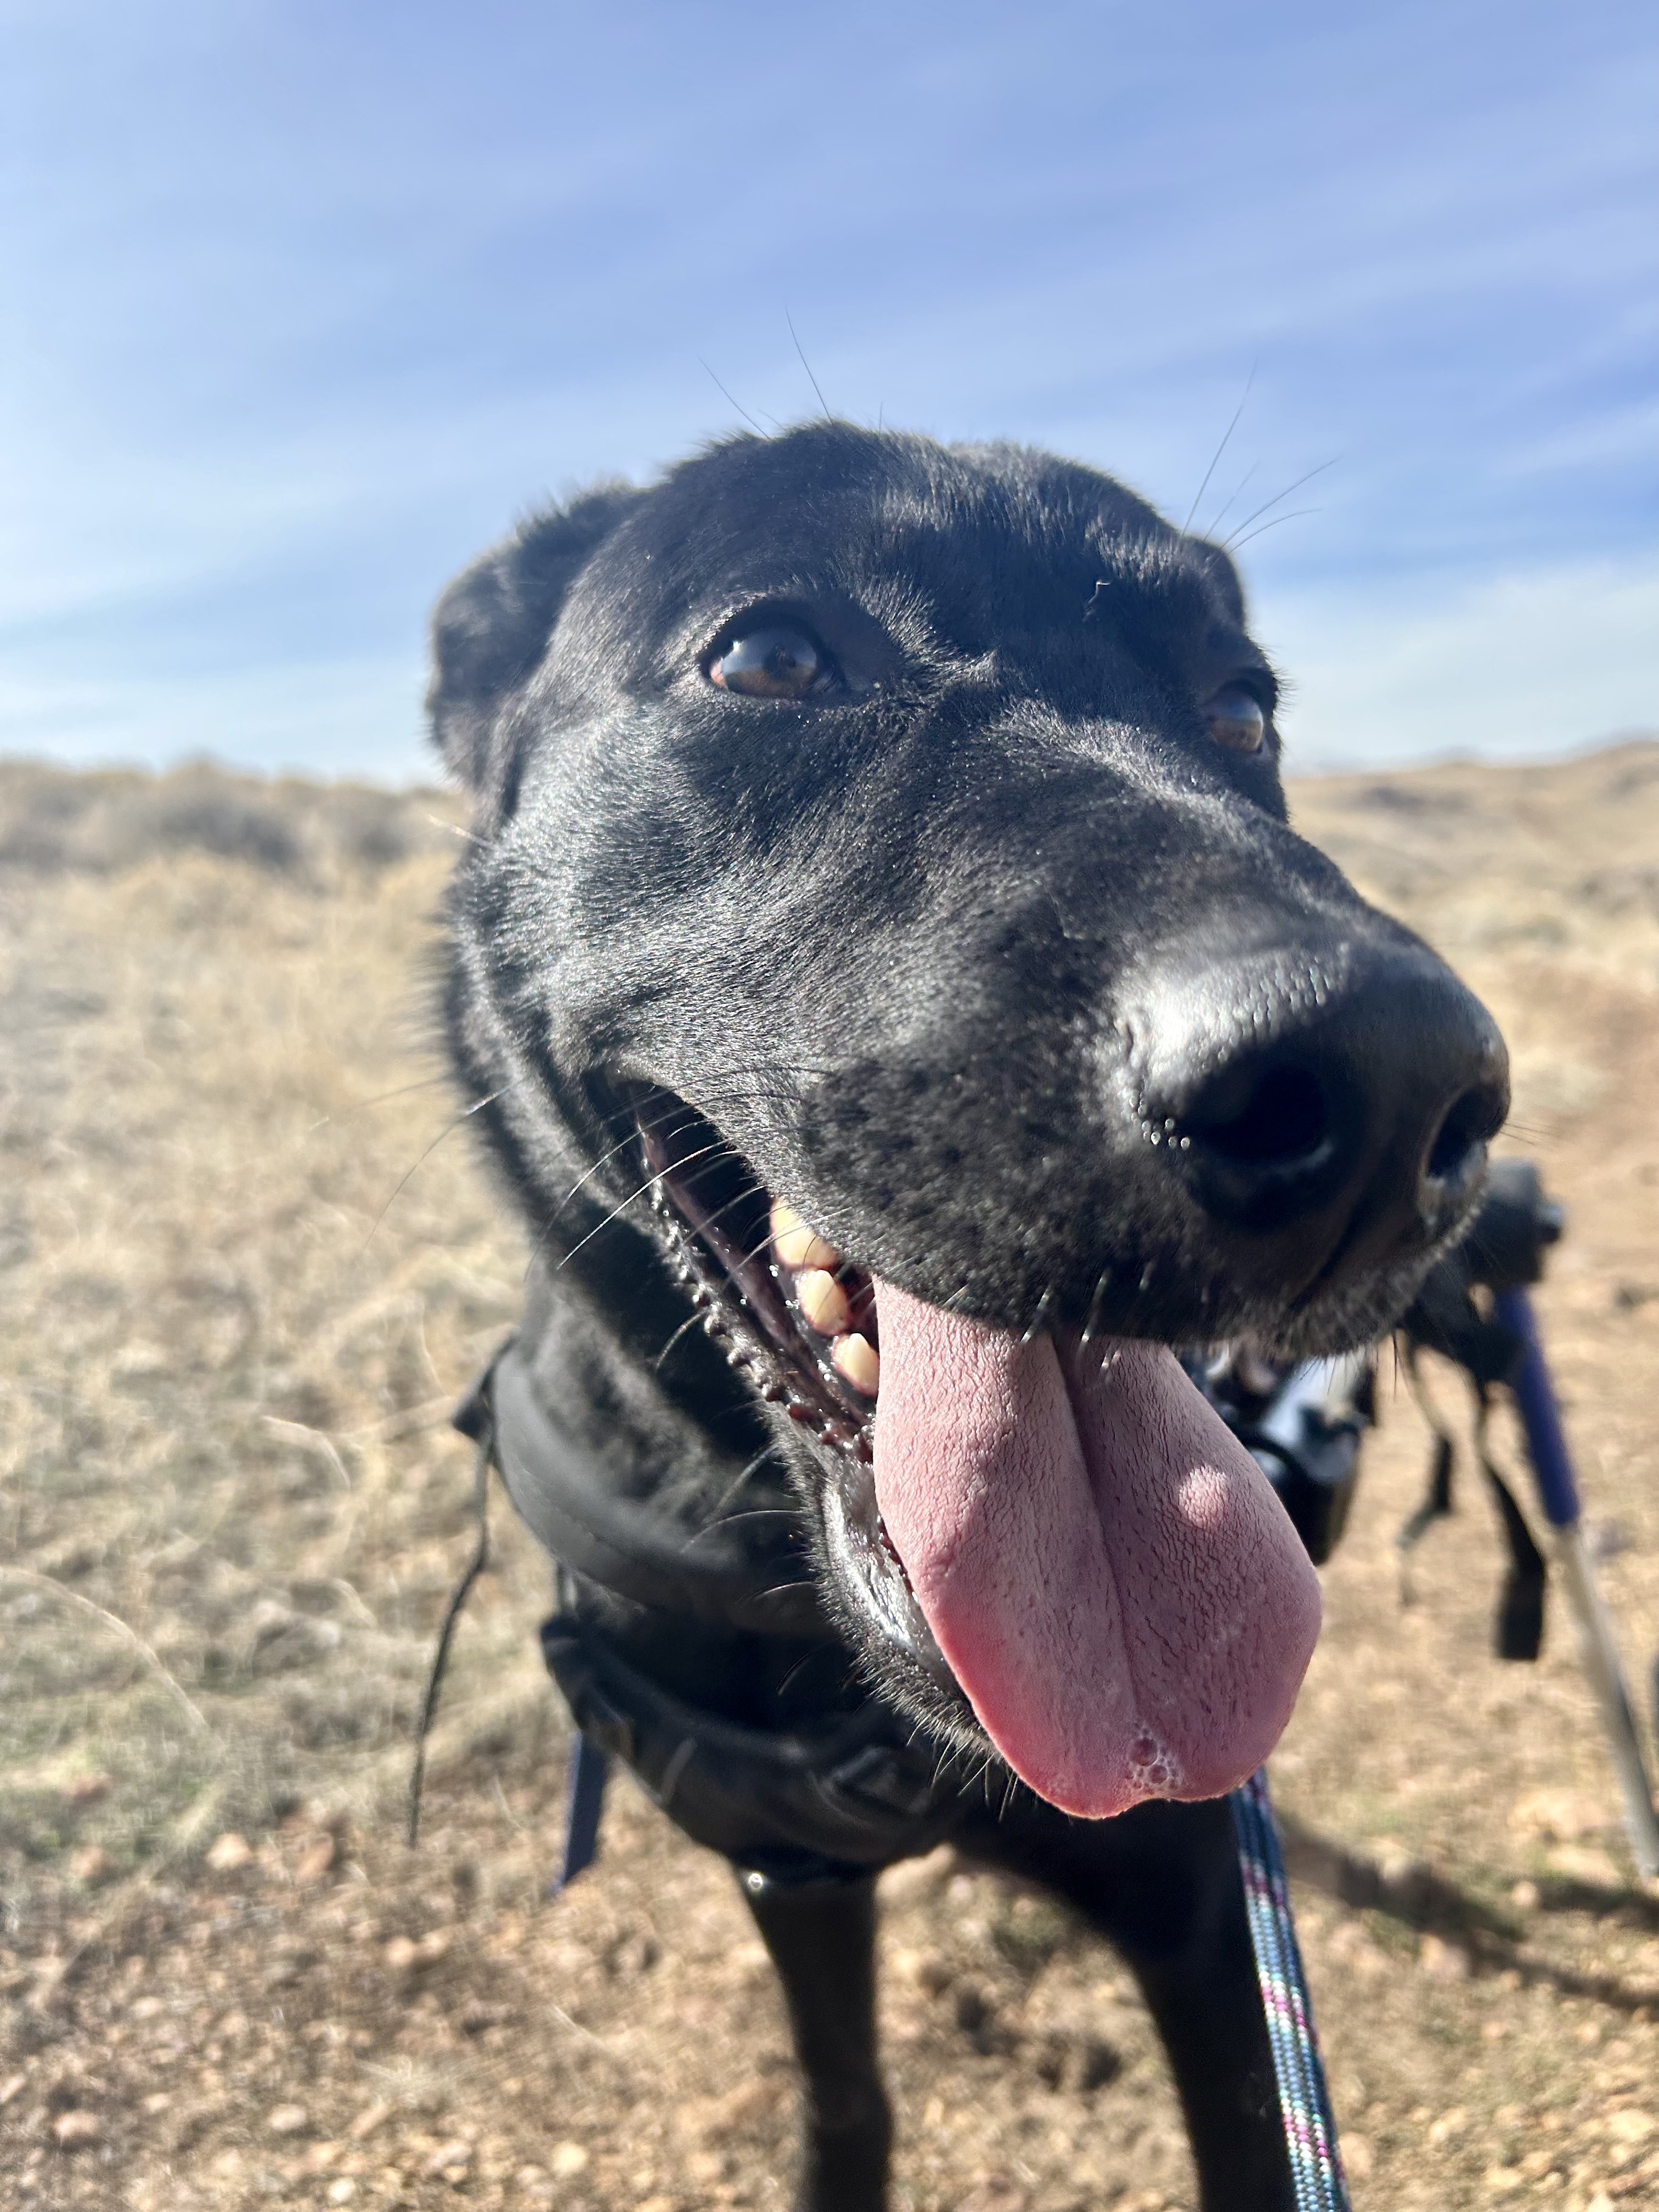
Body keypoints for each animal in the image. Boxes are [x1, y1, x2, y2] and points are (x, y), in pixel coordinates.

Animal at [425, 418, 1504, 2212]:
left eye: (1245, 709)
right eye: (770, 657)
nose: (1391, 1088)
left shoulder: (1201, 1913)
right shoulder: (786, 1866)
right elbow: (846, 2102)